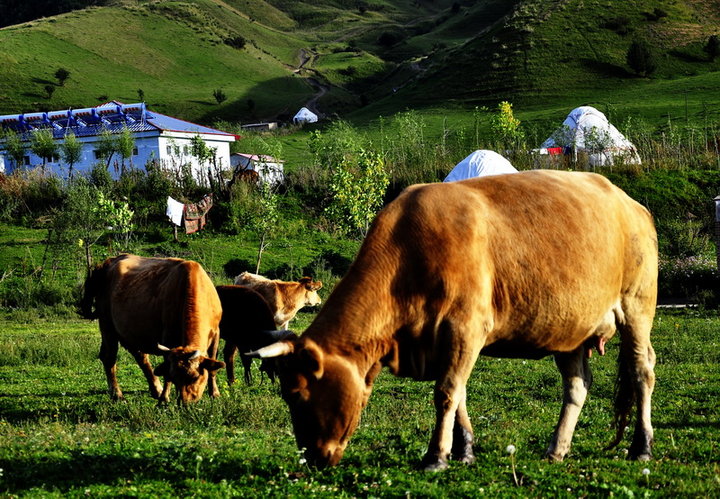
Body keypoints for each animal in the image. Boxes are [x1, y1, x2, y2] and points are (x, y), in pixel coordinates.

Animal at [81, 256, 225, 404]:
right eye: (175, 377)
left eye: (195, 377)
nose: (184, 402)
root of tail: (111, 260)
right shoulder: (168, 338)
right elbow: (167, 371)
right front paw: (164, 399)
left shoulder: (216, 333)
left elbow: (213, 364)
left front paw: (215, 393)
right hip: (107, 325)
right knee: (109, 357)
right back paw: (118, 395)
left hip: (131, 333)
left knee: (141, 357)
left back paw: (156, 389)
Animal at [249, 170, 660, 470]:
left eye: (295, 393)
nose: (312, 460)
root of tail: (631, 203)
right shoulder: (442, 342)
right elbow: (458, 393)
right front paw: (463, 450)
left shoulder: (465, 329)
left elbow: (446, 391)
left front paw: (437, 456)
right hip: (570, 327)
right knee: (577, 386)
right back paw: (556, 448)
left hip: (637, 306)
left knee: (642, 371)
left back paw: (641, 446)